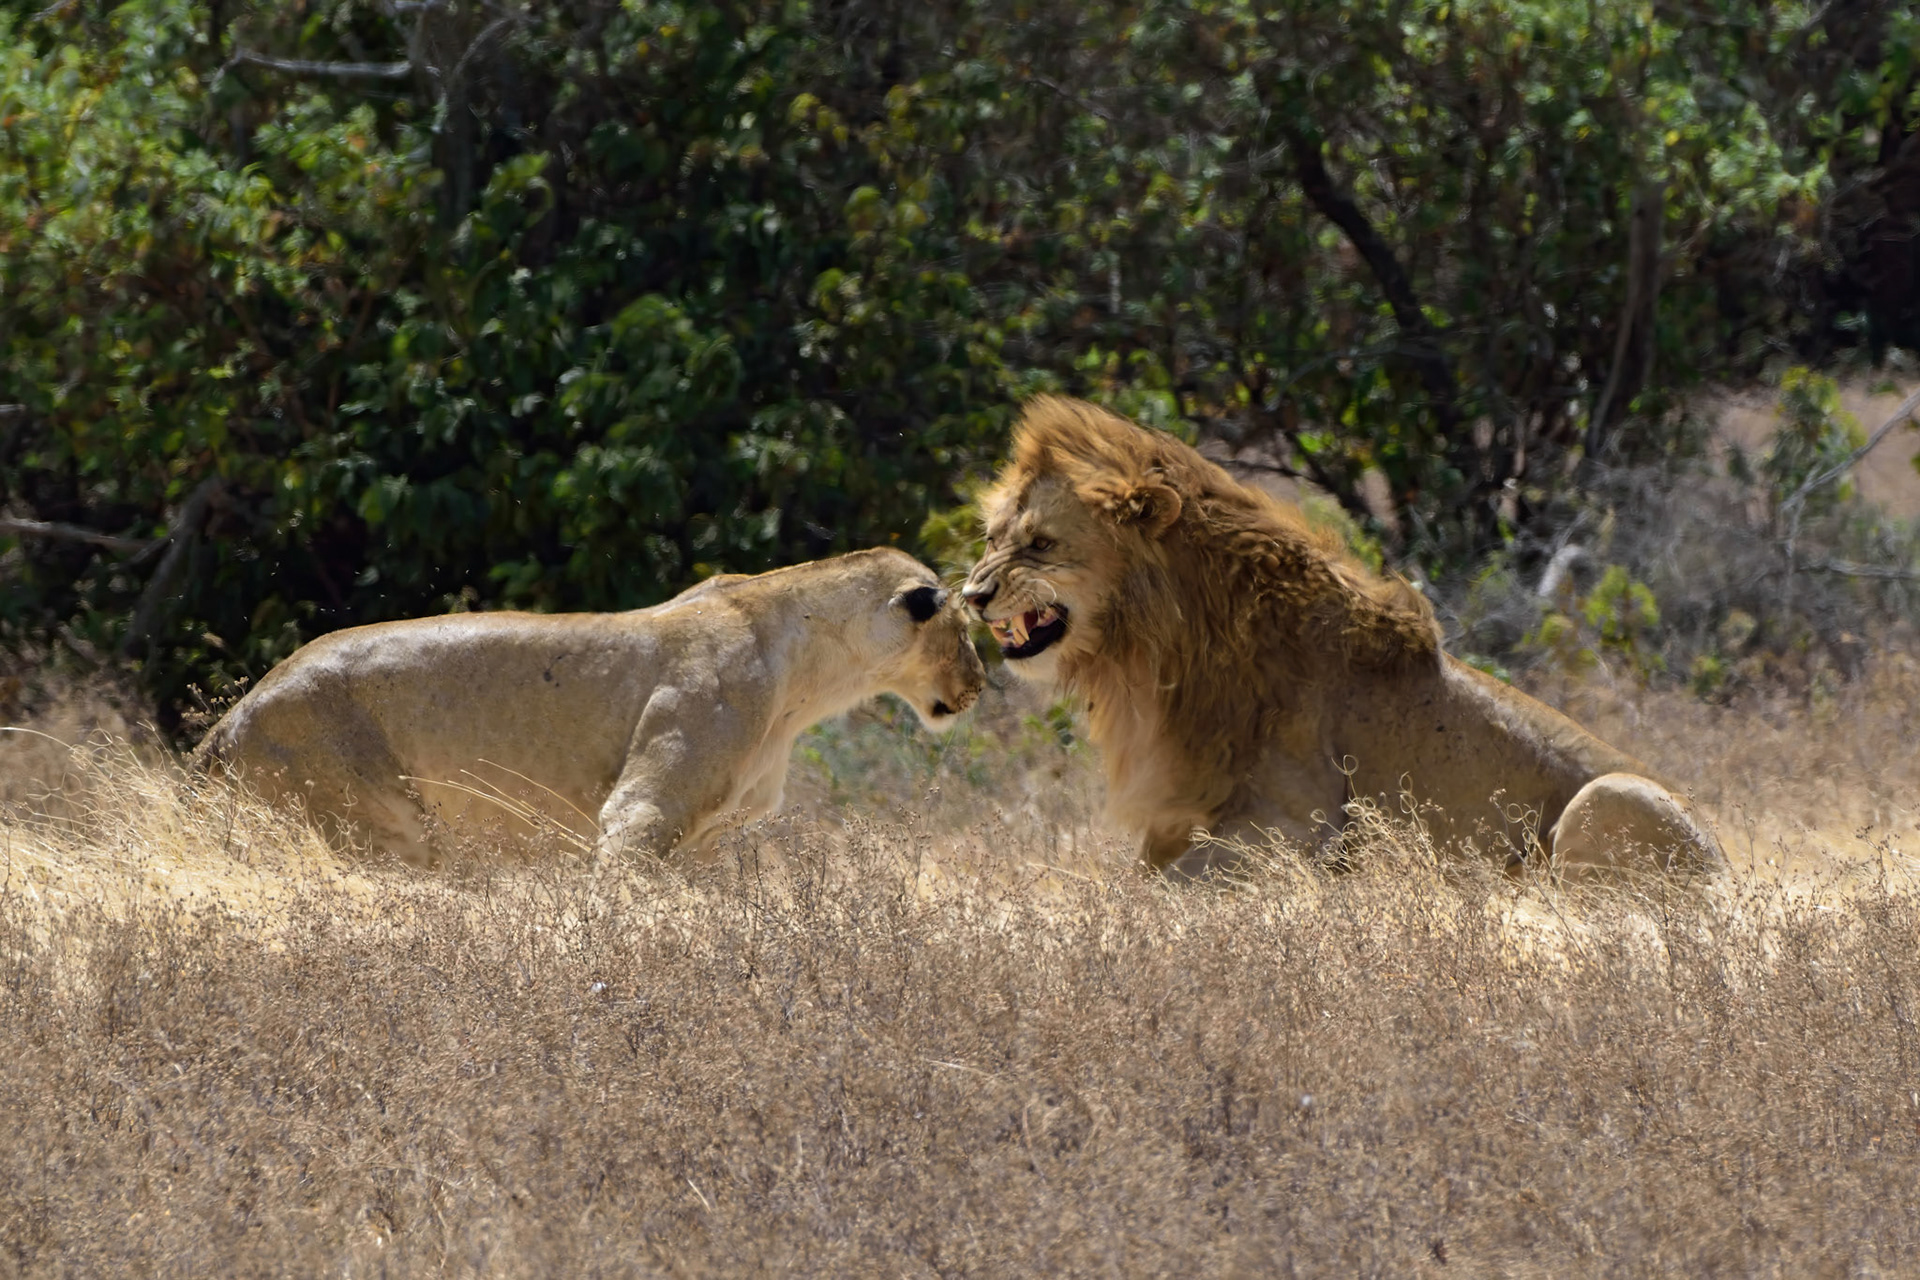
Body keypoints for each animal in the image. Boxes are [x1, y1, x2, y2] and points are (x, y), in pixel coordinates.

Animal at [195, 548, 985, 864]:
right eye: (965, 629)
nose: (979, 682)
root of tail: (230, 718)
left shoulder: (710, 839)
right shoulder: (642, 815)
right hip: (371, 821)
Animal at [960, 397, 1722, 878]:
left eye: (1040, 544)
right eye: (994, 540)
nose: (971, 596)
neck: (1149, 654)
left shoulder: (1295, 825)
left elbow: (1149, 896)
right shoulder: (1177, 816)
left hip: (1611, 798)